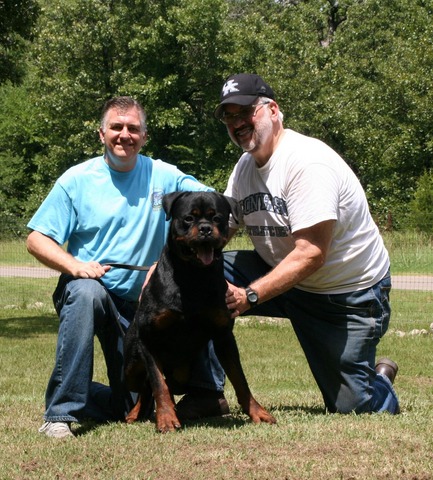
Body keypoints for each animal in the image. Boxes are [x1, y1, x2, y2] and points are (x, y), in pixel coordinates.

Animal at [123, 192, 276, 436]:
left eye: (217, 218)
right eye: (188, 218)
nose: (205, 228)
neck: (193, 276)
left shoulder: (224, 336)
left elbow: (240, 379)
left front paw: (257, 412)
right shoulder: (149, 337)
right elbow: (158, 383)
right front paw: (166, 419)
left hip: (181, 373)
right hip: (130, 368)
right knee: (147, 384)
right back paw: (137, 413)